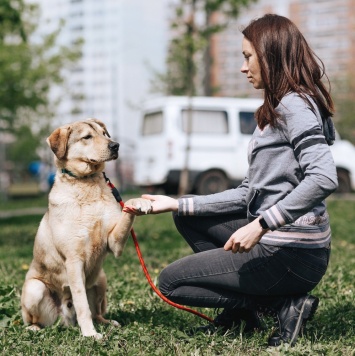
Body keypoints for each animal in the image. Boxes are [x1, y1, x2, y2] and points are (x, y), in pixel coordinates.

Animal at [20, 118, 152, 338]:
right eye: (87, 137)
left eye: (104, 134)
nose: (115, 145)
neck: (87, 183)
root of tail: (65, 320)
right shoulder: (74, 260)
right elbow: (82, 305)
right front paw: (90, 334)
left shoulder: (114, 243)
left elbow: (126, 210)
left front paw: (140, 202)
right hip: (34, 288)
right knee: (36, 319)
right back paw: (35, 328)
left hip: (101, 279)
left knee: (97, 311)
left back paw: (108, 323)